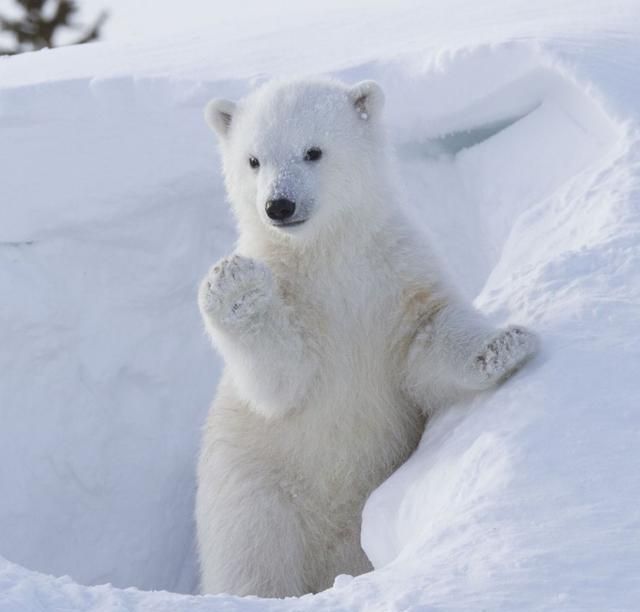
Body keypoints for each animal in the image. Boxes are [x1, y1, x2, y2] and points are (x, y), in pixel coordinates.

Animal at [194, 76, 536, 596]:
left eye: (313, 151)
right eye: (253, 160)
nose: (279, 205)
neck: (328, 255)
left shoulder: (394, 275)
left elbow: (427, 339)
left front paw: (504, 346)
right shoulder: (296, 299)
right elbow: (280, 380)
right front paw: (235, 285)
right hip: (256, 493)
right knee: (253, 561)